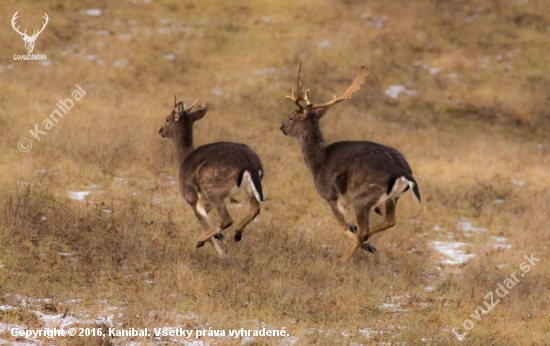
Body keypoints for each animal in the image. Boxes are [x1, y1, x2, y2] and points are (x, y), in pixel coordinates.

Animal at [160, 96, 266, 258]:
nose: (160, 130)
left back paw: (202, 241)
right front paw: (219, 236)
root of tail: (251, 165)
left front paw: (217, 249)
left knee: (227, 219)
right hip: (247, 188)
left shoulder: (190, 195)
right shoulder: (204, 200)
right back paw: (237, 234)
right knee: (255, 208)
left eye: (167, 118)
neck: (182, 161)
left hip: (213, 188)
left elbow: (201, 220)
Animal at [282, 63, 420, 260]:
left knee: (365, 230)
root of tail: (404, 172)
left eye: (291, 117)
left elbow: (343, 227)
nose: (282, 127)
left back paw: (344, 257)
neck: (317, 160)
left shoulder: (330, 195)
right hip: (394, 197)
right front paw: (368, 244)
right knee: (389, 221)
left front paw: (364, 245)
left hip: (362, 196)